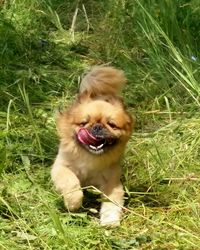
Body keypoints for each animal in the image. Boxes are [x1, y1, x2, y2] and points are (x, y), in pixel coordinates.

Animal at [50, 65, 134, 226]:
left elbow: (112, 202)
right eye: (83, 123)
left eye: (112, 125)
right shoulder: (61, 168)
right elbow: (71, 183)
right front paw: (73, 203)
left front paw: (110, 220)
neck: (89, 157)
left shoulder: (112, 182)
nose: (97, 127)